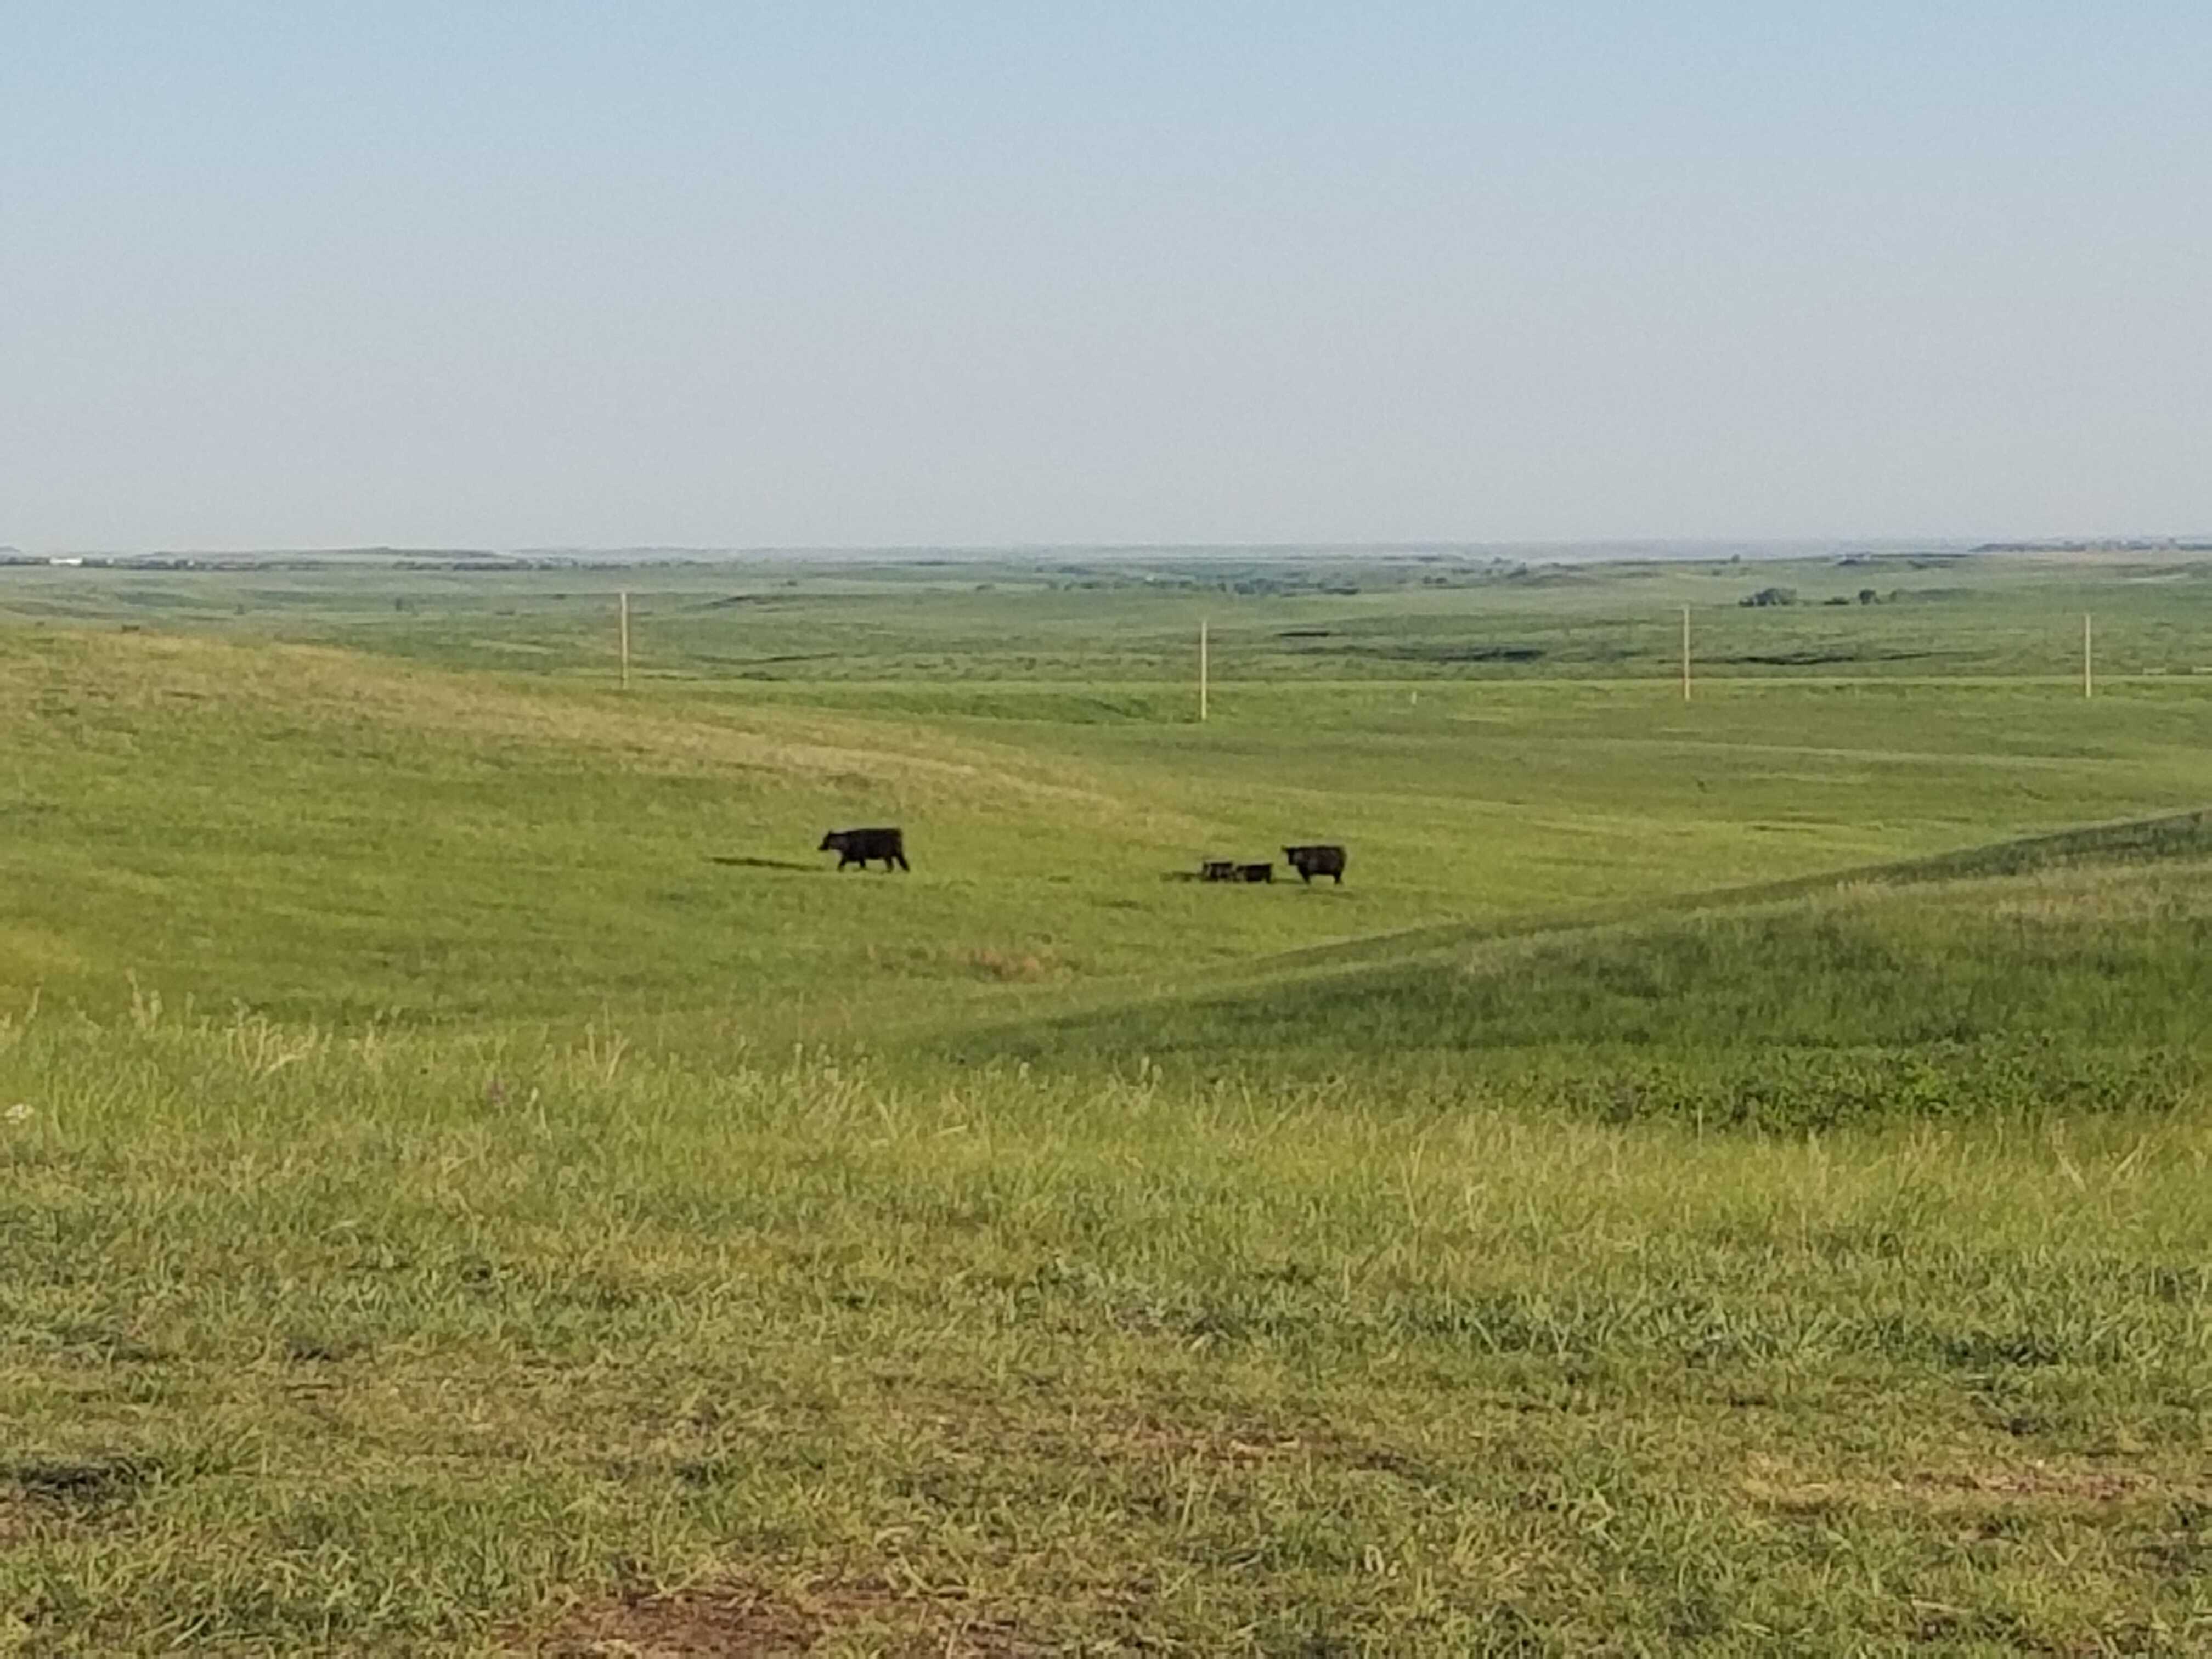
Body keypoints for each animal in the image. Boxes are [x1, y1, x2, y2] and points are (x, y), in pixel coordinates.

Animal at [818, 827, 910, 871]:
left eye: (824, 840)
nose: (819, 848)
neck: (845, 843)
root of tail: (897, 832)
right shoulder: (859, 857)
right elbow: (862, 865)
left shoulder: (853, 856)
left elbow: (842, 862)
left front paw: (839, 869)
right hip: (898, 854)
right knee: (903, 863)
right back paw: (907, 870)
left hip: (887, 855)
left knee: (891, 865)